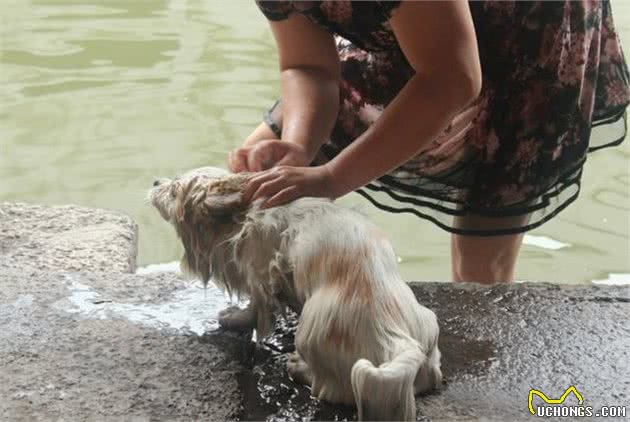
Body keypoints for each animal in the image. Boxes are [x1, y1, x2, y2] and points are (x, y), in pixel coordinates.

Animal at [150, 166, 442, 420]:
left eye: (173, 189)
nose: (154, 182)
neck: (241, 213)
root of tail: (398, 342)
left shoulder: (259, 272)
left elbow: (255, 308)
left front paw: (235, 318)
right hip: (427, 324)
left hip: (313, 329)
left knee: (334, 388)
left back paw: (299, 368)